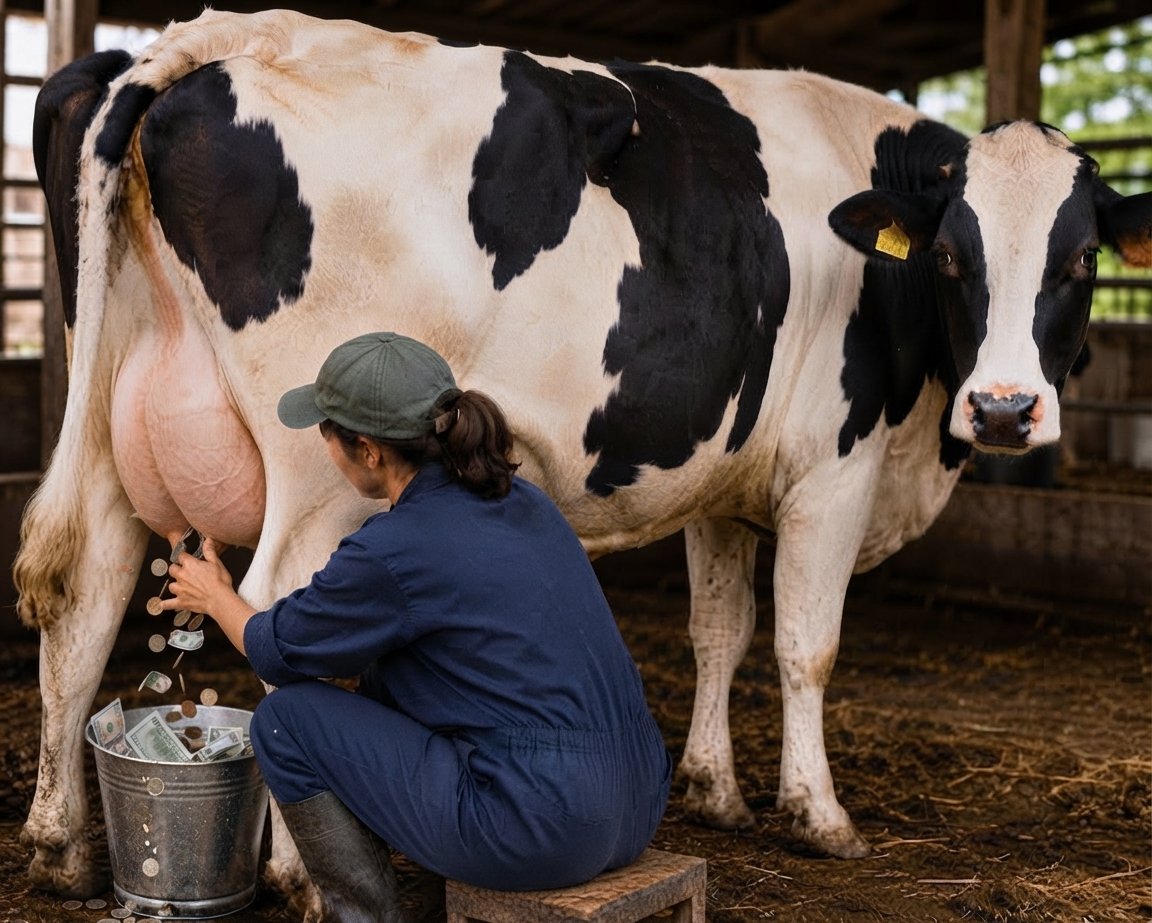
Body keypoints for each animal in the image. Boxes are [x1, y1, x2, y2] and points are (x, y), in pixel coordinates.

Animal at [16, 7, 1150, 906]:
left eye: (1082, 258)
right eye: (953, 256)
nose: (1005, 410)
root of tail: (224, 35)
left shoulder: (721, 479)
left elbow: (719, 631)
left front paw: (715, 790)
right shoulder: (837, 465)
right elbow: (805, 644)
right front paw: (820, 816)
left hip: (110, 423)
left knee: (81, 594)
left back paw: (60, 846)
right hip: (316, 467)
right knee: (270, 611)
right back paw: (296, 874)